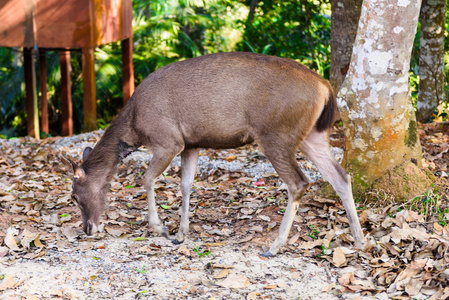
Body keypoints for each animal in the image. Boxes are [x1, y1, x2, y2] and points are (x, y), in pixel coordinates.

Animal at [62, 51, 364, 255]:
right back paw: (360, 239)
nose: (88, 228)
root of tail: (325, 88)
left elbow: (146, 179)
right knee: (341, 176)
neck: (134, 126)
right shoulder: (191, 144)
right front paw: (181, 234)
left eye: (74, 196)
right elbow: (186, 185)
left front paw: (161, 228)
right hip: (312, 134)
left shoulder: (168, 140)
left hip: (276, 134)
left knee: (299, 182)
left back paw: (274, 246)